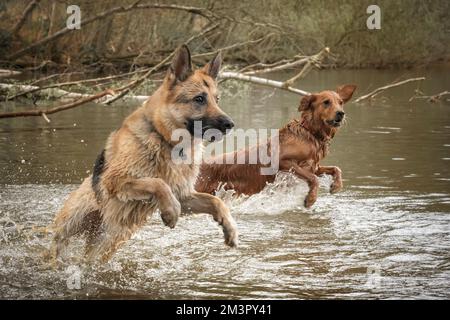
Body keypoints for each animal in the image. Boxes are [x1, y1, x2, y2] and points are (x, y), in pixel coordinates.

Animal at [52, 45, 239, 262]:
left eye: (217, 100)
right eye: (199, 99)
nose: (230, 124)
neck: (165, 140)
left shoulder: (185, 197)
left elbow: (216, 201)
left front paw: (230, 228)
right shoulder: (117, 180)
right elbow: (158, 183)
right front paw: (170, 212)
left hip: (109, 241)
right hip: (68, 228)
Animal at [195, 85, 356, 209]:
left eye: (341, 102)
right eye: (326, 102)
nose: (341, 113)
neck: (310, 133)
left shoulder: (314, 166)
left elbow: (336, 168)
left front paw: (336, 185)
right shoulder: (283, 162)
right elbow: (313, 178)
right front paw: (310, 199)